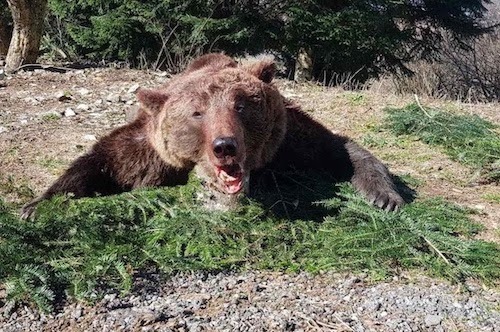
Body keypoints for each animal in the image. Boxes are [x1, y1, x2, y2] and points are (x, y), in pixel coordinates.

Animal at [21, 53, 404, 219]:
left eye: (241, 105)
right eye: (197, 112)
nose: (225, 146)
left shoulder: (286, 142)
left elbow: (338, 148)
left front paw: (384, 195)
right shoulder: (151, 152)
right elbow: (103, 160)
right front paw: (37, 205)